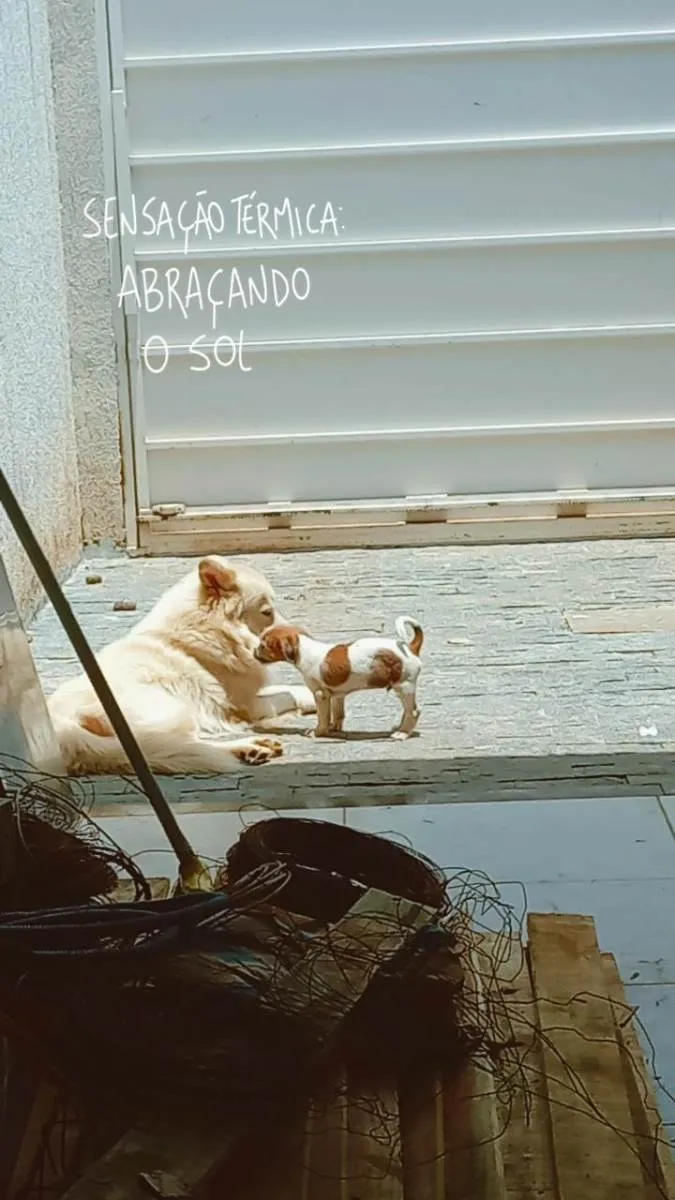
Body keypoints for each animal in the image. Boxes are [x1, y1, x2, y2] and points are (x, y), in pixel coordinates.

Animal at [47, 556, 314, 772]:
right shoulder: (248, 706)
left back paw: (251, 749)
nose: (301, 635)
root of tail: (64, 730)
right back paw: (249, 746)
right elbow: (289, 694)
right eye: (267, 612)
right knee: (184, 745)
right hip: (173, 710)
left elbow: (297, 689)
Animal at [252, 619, 420, 739]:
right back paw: (400, 728)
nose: (253, 650)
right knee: (408, 711)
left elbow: (323, 716)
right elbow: (337, 713)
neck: (304, 650)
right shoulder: (337, 695)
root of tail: (411, 647)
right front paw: (333, 728)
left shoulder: (320, 694)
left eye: (263, 646)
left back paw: (403, 733)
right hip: (401, 688)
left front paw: (319, 732)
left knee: (413, 712)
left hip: (404, 686)